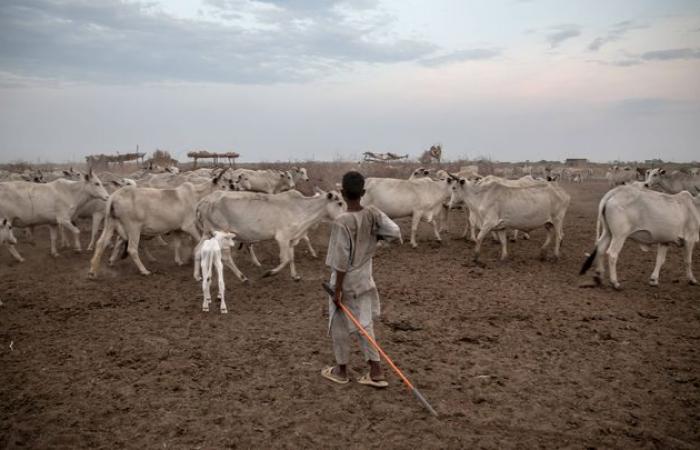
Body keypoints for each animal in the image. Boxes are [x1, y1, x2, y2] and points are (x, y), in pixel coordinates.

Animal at [87, 172, 230, 278]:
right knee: (132, 249)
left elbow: (177, 245)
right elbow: (197, 241)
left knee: (101, 243)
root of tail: (114, 197)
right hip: (134, 228)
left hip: (110, 224)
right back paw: (144, 270)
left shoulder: (177, 229)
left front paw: (179, 261)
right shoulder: (189, 226)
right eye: (223, 186)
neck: (196, 195)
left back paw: (93, 271)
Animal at [193, 187, 346, 280]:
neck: (301, 208)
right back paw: (242, 277)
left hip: (207, 233)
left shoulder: (291, 239)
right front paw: (269, 273)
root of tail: (203, 201)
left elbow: (291, 258)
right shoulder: (282, 238)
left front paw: (295, 276)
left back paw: (197, 276)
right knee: (225, 257)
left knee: (197, 250)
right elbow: (285, 259)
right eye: (339, 202)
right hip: (221, 233)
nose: (347, 214)